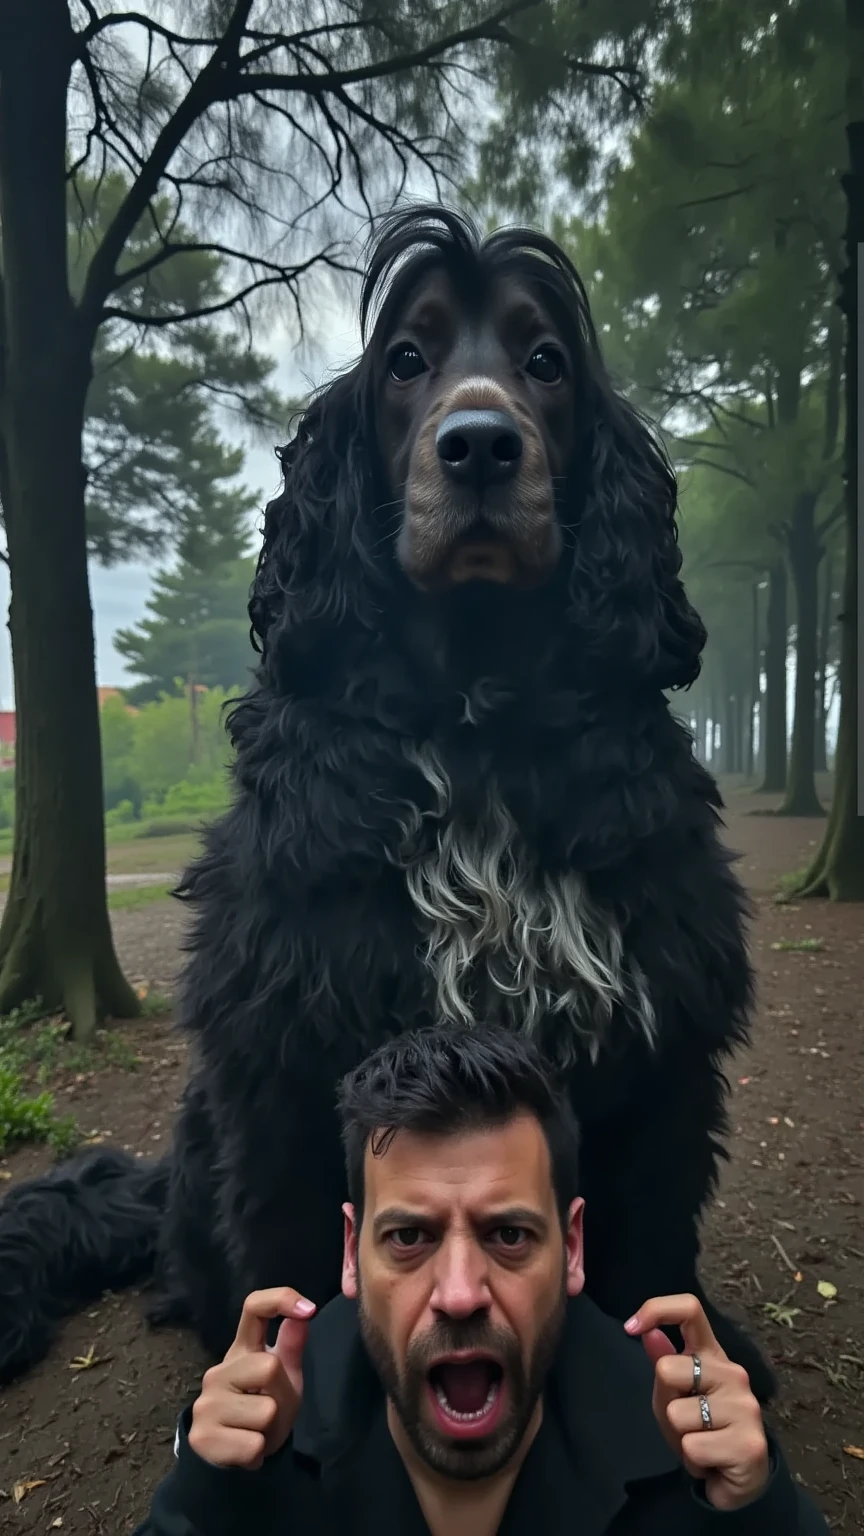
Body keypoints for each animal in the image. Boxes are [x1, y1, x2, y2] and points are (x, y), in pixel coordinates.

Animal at [0, 207, 768, 1406]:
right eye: (408, 359)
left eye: (546, 361)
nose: (480, 445)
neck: (477, 711)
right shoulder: (287, 1057)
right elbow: (297, 1257)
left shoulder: (657, 1046)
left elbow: (648, 1241)